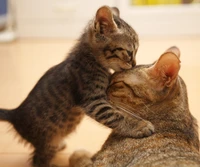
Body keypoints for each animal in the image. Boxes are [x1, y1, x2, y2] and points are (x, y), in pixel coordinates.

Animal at [0, 5, 154, 167]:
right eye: (130, 53)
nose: (134, 64)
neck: (91, 60)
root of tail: (15, 113)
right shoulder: (93, 100)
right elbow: (116, 116)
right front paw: (139, 126)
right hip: (48, 140)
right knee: (37, 160)